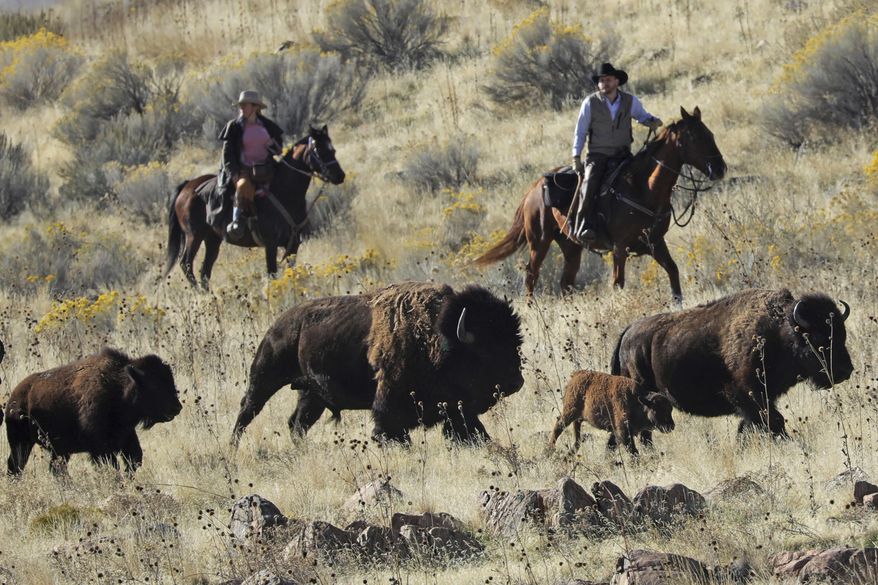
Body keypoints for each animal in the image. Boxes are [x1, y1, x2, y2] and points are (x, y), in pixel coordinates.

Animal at [5, 347, 183, 476]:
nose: (177, 407)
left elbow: (135, 458)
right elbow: (112, 464)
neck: (119, 387)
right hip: (21, 443)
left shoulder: (126, 435)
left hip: (58, 450)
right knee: (16, 465)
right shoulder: (101, 448)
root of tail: (14, 398)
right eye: (154, 386)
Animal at [232, 282, 524, 445]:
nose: (517, 382)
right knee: (248, 409)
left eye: (514, 343)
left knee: (296, 424)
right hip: (265, 376)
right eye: (487, 351)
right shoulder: (389, 401)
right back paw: (233, 447)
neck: (437, 334)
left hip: (311, 395)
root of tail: (279, 323)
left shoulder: (457, 409)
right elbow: (390, 429)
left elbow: (472, 429)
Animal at [611, 289, 853, 437]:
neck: (778, 331)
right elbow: (772, 420)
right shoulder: (747, 394)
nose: (846, 371)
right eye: (818, 338)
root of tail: (627, 333)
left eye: (842, 335)